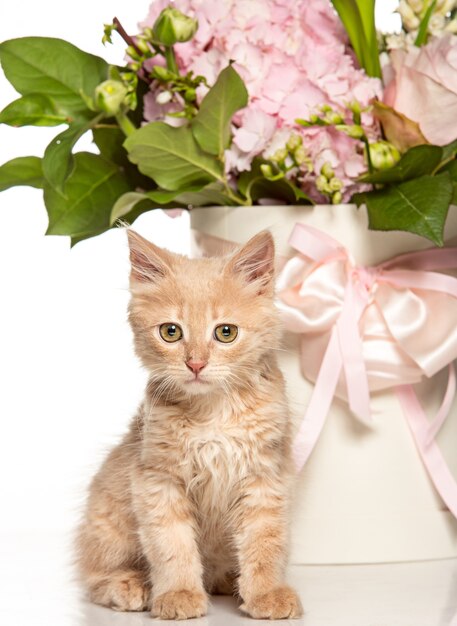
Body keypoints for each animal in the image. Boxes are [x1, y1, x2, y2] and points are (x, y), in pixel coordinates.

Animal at [75, 229, 302, 620]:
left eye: (225, 332)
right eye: (170, 332)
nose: (195, 364)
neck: (212, 413)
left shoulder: (264, 477)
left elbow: (264, 542)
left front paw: (267, 593)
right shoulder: (157, 480)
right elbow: (172, 544)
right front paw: (179, 594)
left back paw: (229, 582)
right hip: (109, 518)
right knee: (95, 574)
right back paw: (131, 586)